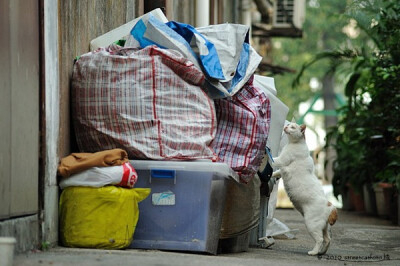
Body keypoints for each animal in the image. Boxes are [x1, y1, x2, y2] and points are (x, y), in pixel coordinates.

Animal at [272, 122, 338, 256]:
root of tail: (331, 206)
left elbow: (274, 160)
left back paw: (313, 252)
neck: (294, 143)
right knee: (327, 239)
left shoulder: (281, 160)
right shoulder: (282, 169)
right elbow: (277, 172)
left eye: (292, 127)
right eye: (288, 124)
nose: (286, 127)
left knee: (320, 239)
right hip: (324, 227)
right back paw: (322, 252)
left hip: (311, 224)